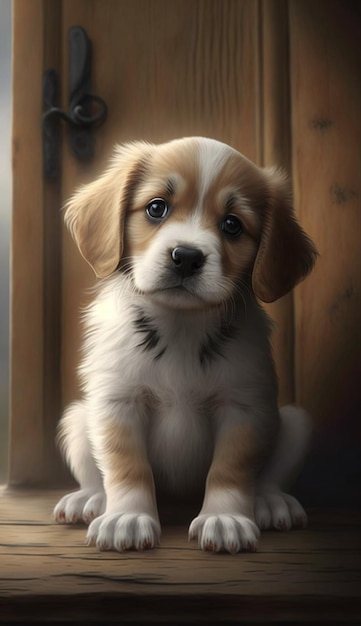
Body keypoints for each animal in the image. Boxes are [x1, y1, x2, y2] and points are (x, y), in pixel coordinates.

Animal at [52, 136, 316, 552]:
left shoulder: (243, 405)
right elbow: (126, 466)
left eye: (232, 225)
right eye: (156, 207)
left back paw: (271, 502)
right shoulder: (117, 401)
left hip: (295, 423)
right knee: (94, 471)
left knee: (271, 476)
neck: (180, 326)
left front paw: (225, 519)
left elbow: (231, 469)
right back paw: (90, 499)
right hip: (77, 418)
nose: (187, 257)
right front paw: (127, 517)